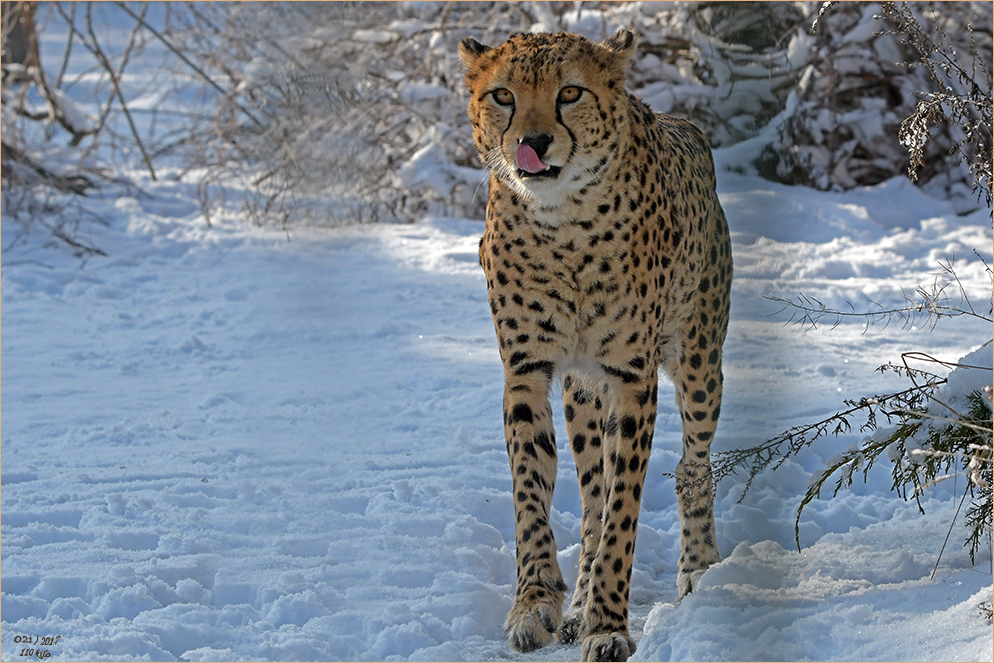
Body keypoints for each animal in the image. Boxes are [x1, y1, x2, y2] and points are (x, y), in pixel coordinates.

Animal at [458, 28, 728, 660]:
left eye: (570, 92)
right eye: (502, 95)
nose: (533, 142)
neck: (563, 223)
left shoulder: (633, 376)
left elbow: (625, 508)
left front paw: (608, 622)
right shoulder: (527, 369)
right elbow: (533, 492)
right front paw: (537, 603)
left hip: (700, 365)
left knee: (693, 464)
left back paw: (699, 568)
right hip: (583, 393)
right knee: (590, 497)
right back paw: (577, 601)